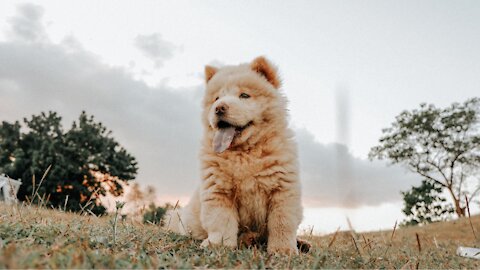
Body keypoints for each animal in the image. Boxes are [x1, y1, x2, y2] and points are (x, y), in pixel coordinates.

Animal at [163, 57, 302, 255]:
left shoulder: (283, 189)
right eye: (216, 98)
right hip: (181, 217)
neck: (244, 153)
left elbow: (282, 223)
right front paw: (219, 245)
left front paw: (283, 250)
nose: (219, 108)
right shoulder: (218, 190)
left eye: (244, 95)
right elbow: (221, 222)